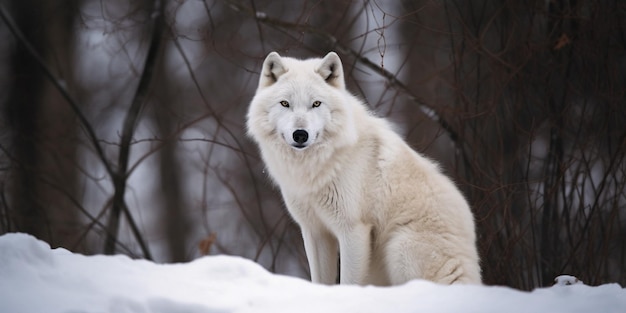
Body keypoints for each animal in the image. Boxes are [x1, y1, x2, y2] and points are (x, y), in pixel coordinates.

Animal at [246, 51, 480, 286]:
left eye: (316, 104)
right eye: (285, 103)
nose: (300, 134)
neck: (318, 167)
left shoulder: (353, 230)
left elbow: (349, 282)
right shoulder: (315, 231)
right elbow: (320, 281)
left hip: (399, 248)